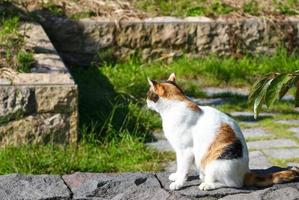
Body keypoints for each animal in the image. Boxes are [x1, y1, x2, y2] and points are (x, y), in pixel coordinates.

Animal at [147, 73, 299, 191]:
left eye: (148, 94)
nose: (146, 102)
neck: (175, 106)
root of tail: (246, 173)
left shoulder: (185, 151)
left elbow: (183, 168)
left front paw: (178, 183)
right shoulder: (179, 152)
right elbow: (179, 167)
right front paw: (176, 175)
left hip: (216, 163)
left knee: (233, 184)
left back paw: (207, 185)